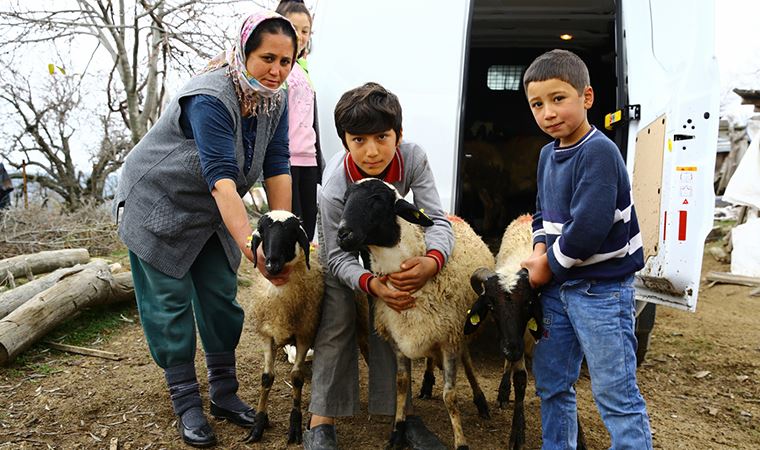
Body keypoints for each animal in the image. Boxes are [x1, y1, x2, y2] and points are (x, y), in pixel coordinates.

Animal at [336, 178, 492, 448]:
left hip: (461, 329)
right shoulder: (399, 340)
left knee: (467, 361)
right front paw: (397, 431)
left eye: (377, 200)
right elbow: (400, 385)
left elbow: (450, 396)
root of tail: (453, 215)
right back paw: (427, 384)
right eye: (345, 199)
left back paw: (481, 401)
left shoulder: (450, 340)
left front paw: (460, 441)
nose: (343, 234)